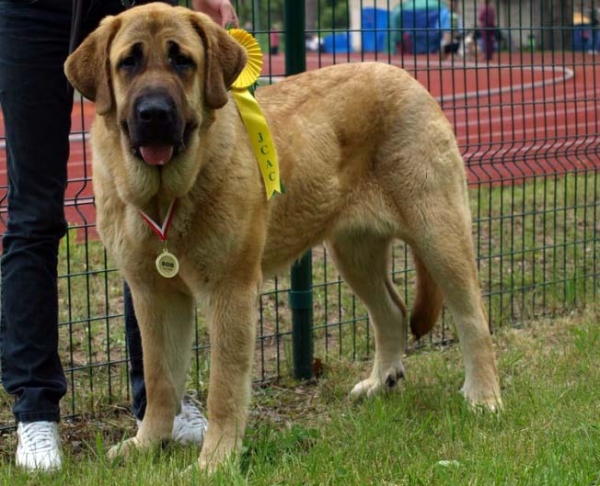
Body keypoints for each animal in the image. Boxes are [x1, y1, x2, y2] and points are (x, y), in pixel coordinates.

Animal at [64, 1, 502, 472]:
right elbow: (160, 380)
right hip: (355, 252)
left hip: (439, 232)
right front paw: (148, 444)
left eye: (182, 61)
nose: (155, 113)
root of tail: (409, 78)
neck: (166, 197)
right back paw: (381, 381)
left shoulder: (230, 291)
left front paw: (215, 460)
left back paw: (484, 397)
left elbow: (224, 388)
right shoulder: (154, 295)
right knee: (392, 310)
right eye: (128, 62)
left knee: (474, 318)